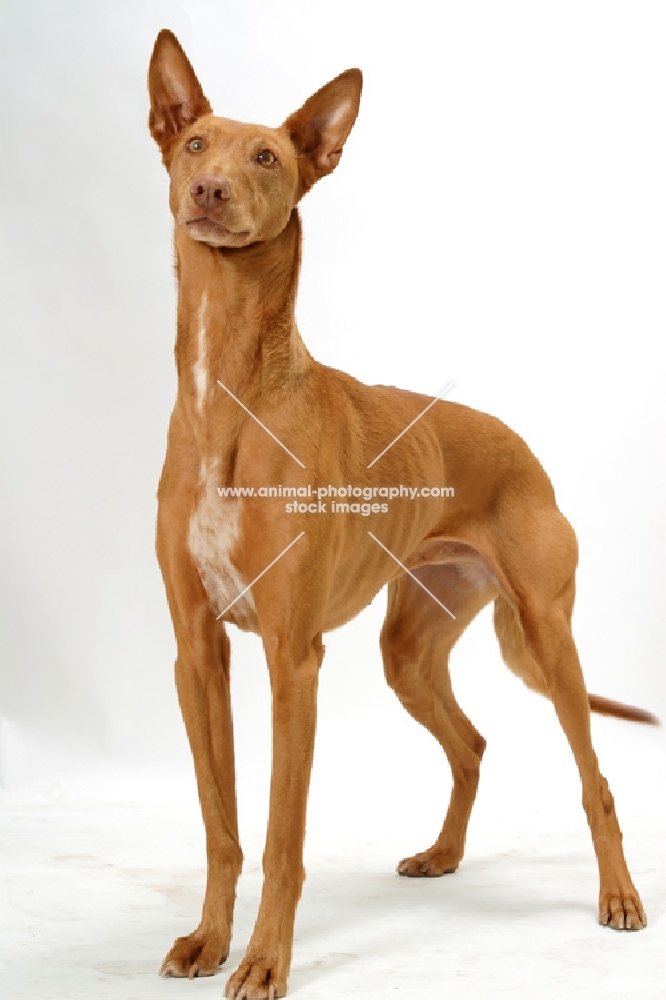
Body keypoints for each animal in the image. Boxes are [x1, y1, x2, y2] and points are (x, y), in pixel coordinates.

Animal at [147, 31, 652, 1000]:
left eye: (266, 157)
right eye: (195, 144)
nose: (210, 191)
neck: (229, 391)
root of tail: (521, 444)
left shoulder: (292, 656)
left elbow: (282, 835)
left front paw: (263, 961)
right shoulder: (198, 650)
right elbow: (222, 824)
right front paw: (207, 939)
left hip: (546, 635)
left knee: (594, 778)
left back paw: (619, 898)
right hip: (410, 648)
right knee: (473, 744)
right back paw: (444, 855)